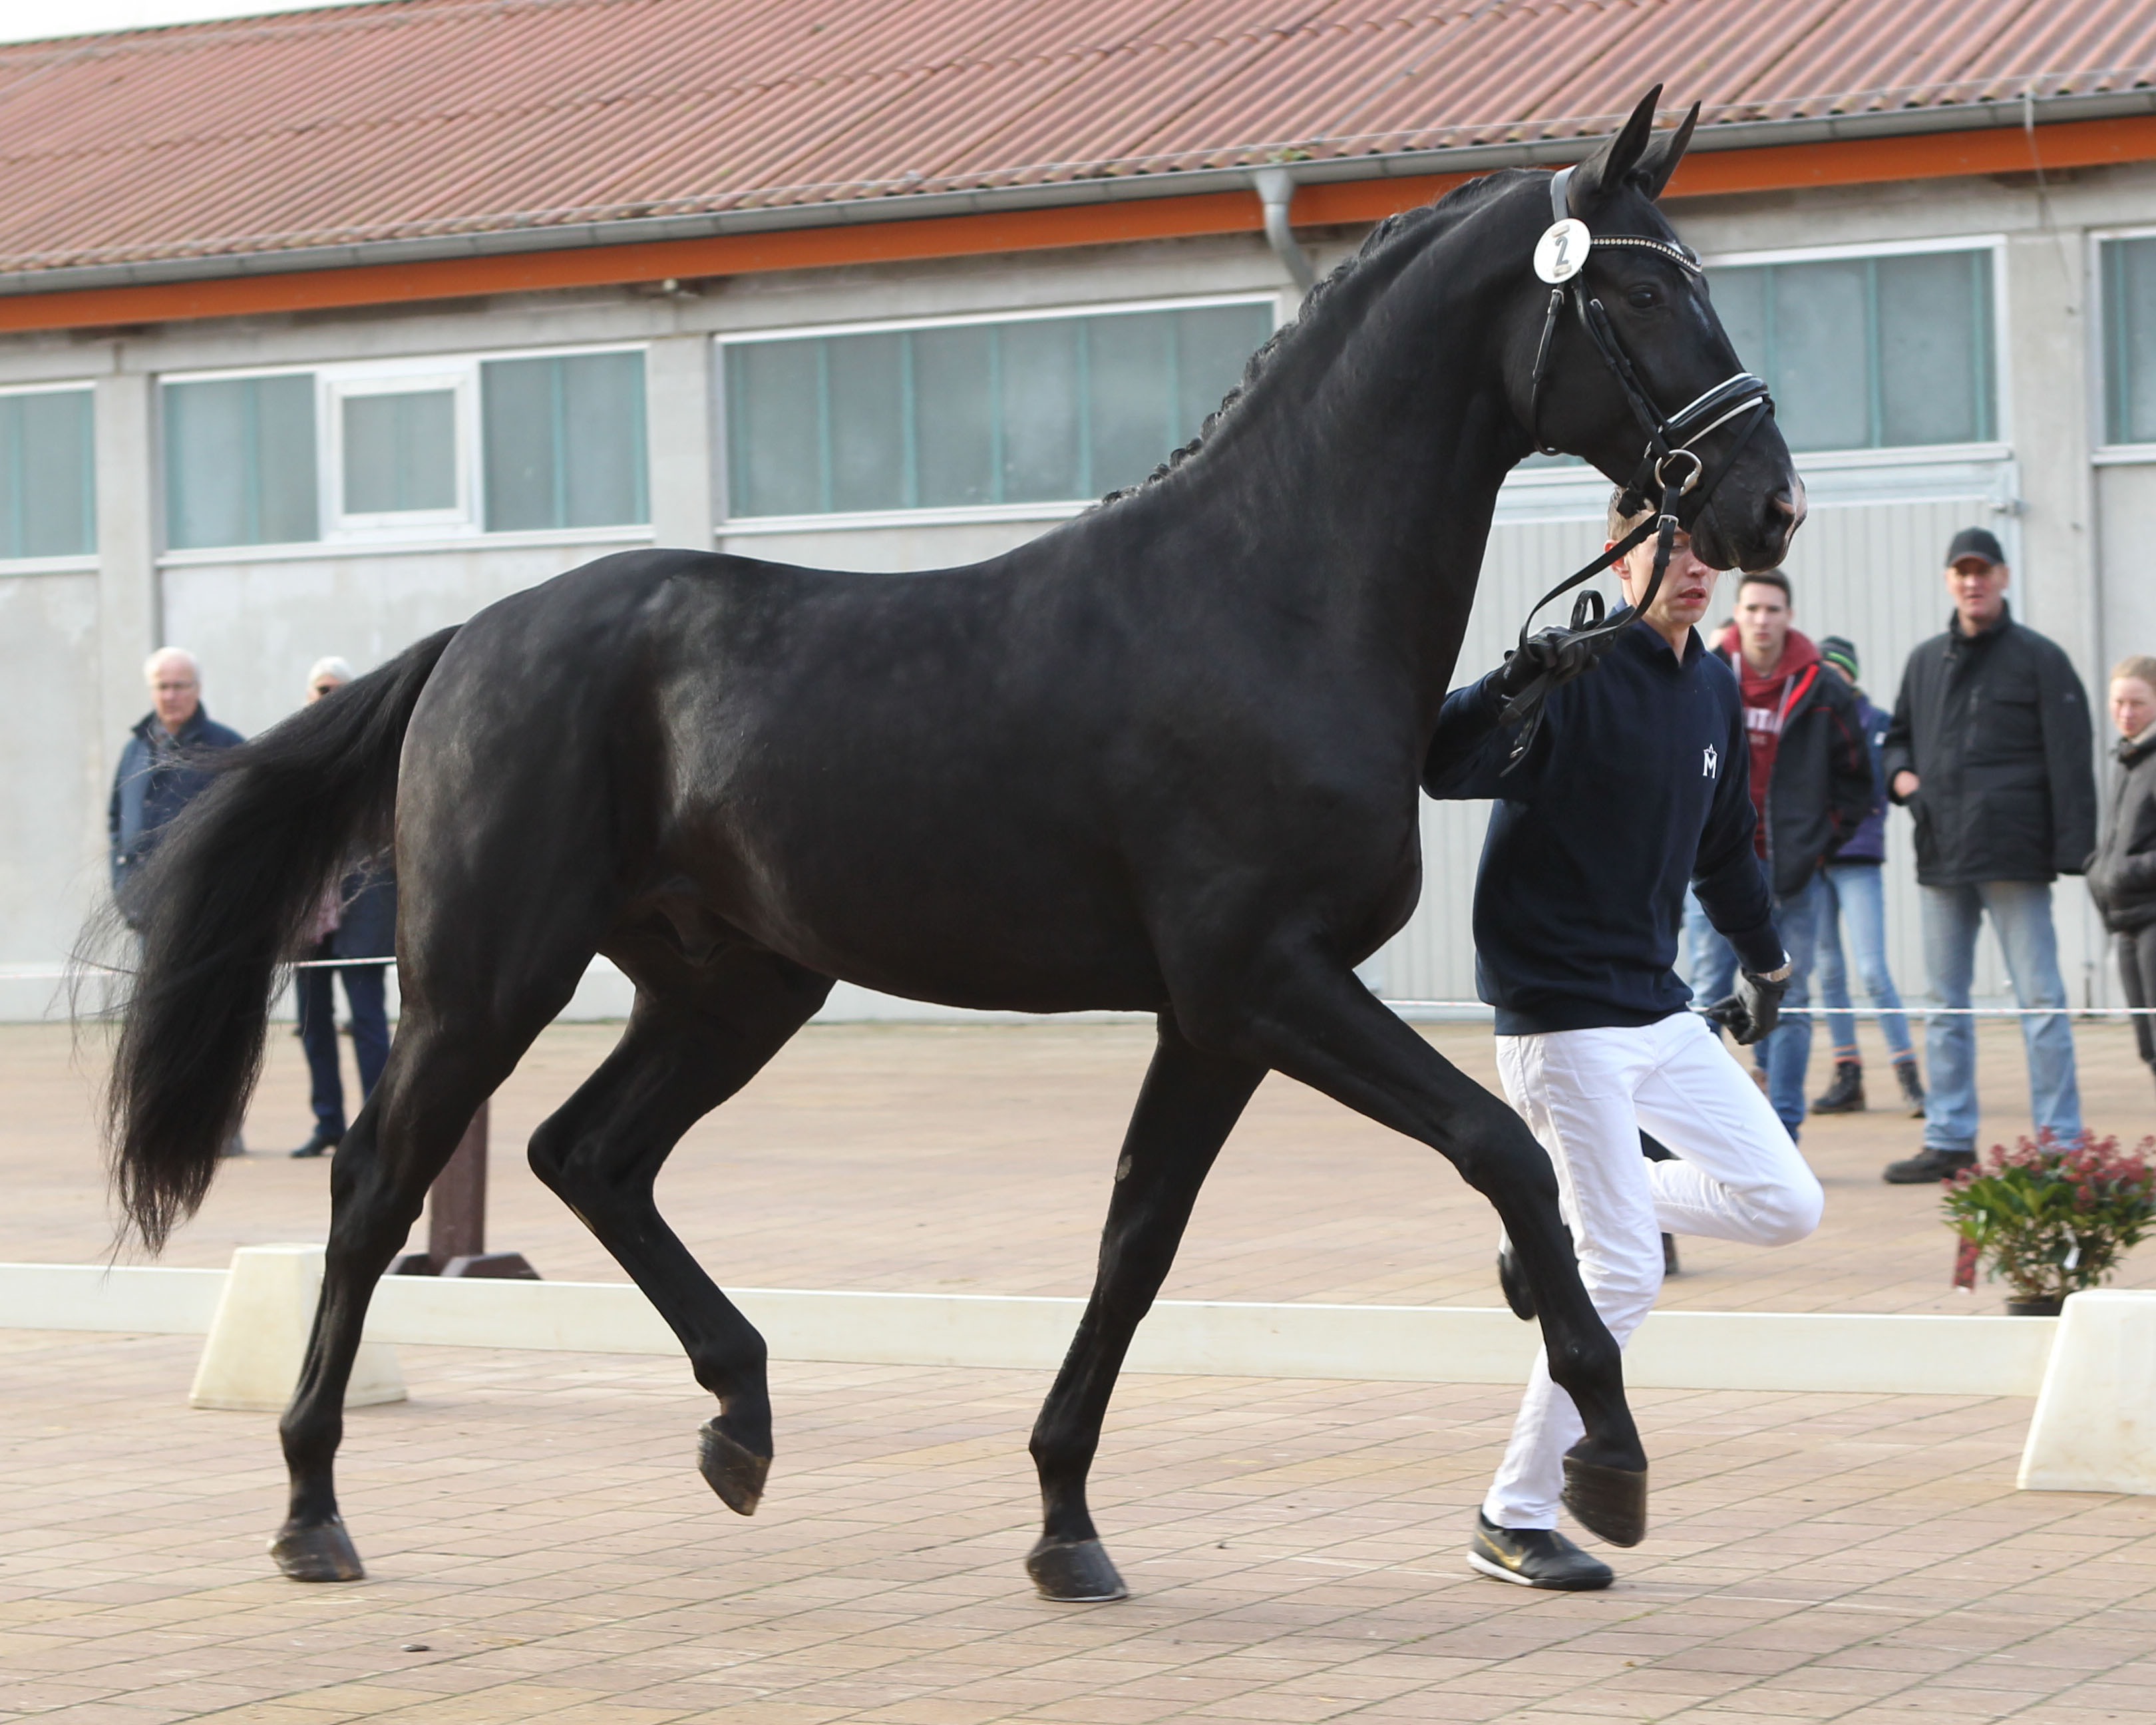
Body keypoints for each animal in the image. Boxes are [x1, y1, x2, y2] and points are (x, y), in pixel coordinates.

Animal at [109, 91, 1802, 1604]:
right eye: (1641, 289)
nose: (1764, 501)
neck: (1268, 596)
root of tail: (471, 640)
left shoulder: (1213, 1018)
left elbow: (1136, 1242)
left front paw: (1064, 1524)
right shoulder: (1263, 981)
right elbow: (1498, 1148)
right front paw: (1608, 1456)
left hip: (733, 986)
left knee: (589, 1153)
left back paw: (738, 1419)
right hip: (485, 977)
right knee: (379, 1185)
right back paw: (313, 1508)